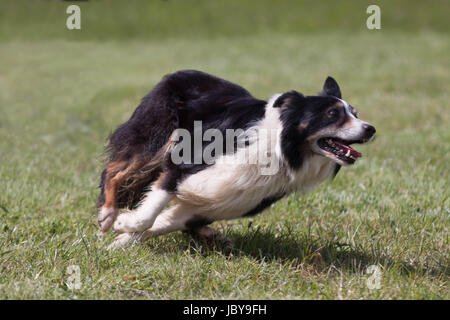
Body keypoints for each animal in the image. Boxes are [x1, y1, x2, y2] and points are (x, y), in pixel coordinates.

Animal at [98, 70, 376, 249]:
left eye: (355, 113)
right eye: (333, 114)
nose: (371, 129)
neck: (281, 150)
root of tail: (176, 74)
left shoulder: (229, 199)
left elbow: (165, 221)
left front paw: (123, 240)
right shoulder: (185, 162)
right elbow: (152, 209)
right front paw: (123, 223)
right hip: (158, 136)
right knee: (114, 169)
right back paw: (108, 214)